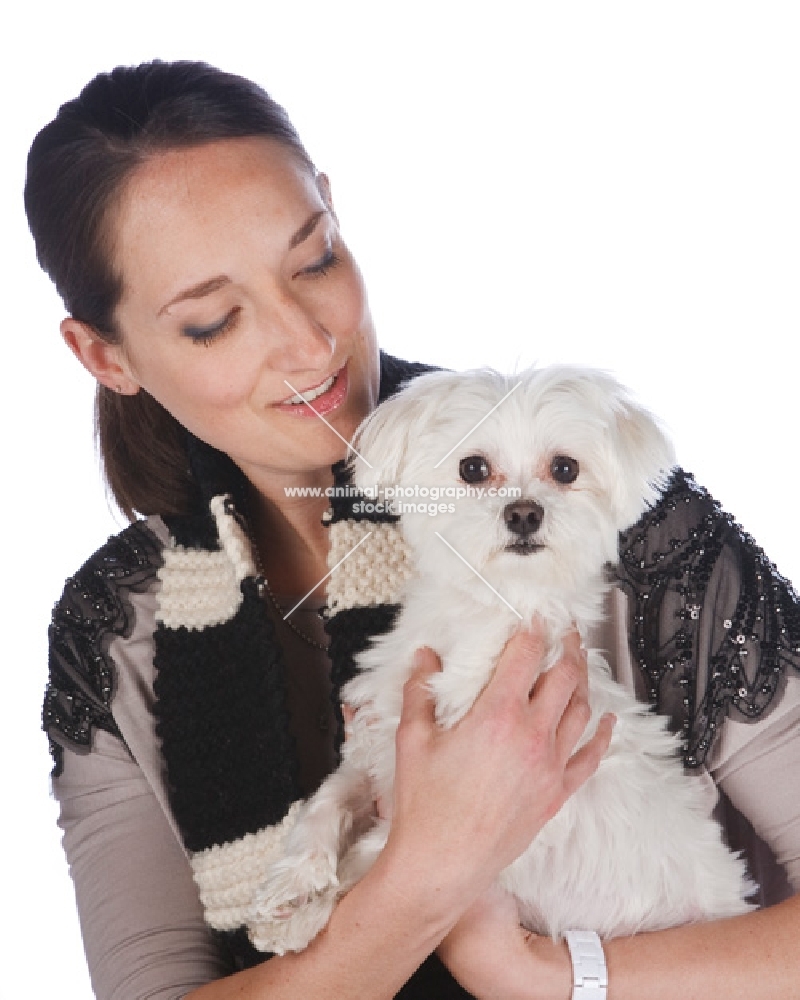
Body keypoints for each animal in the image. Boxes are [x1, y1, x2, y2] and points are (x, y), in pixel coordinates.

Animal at [252, 366, 756, 952]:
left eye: (565, 468)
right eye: (472, 468)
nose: (523, 513)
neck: (490, 613)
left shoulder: (488, 828)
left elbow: (377, 862)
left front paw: (306, 915)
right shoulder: (378, 742)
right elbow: (328, 801)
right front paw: (292, 885)